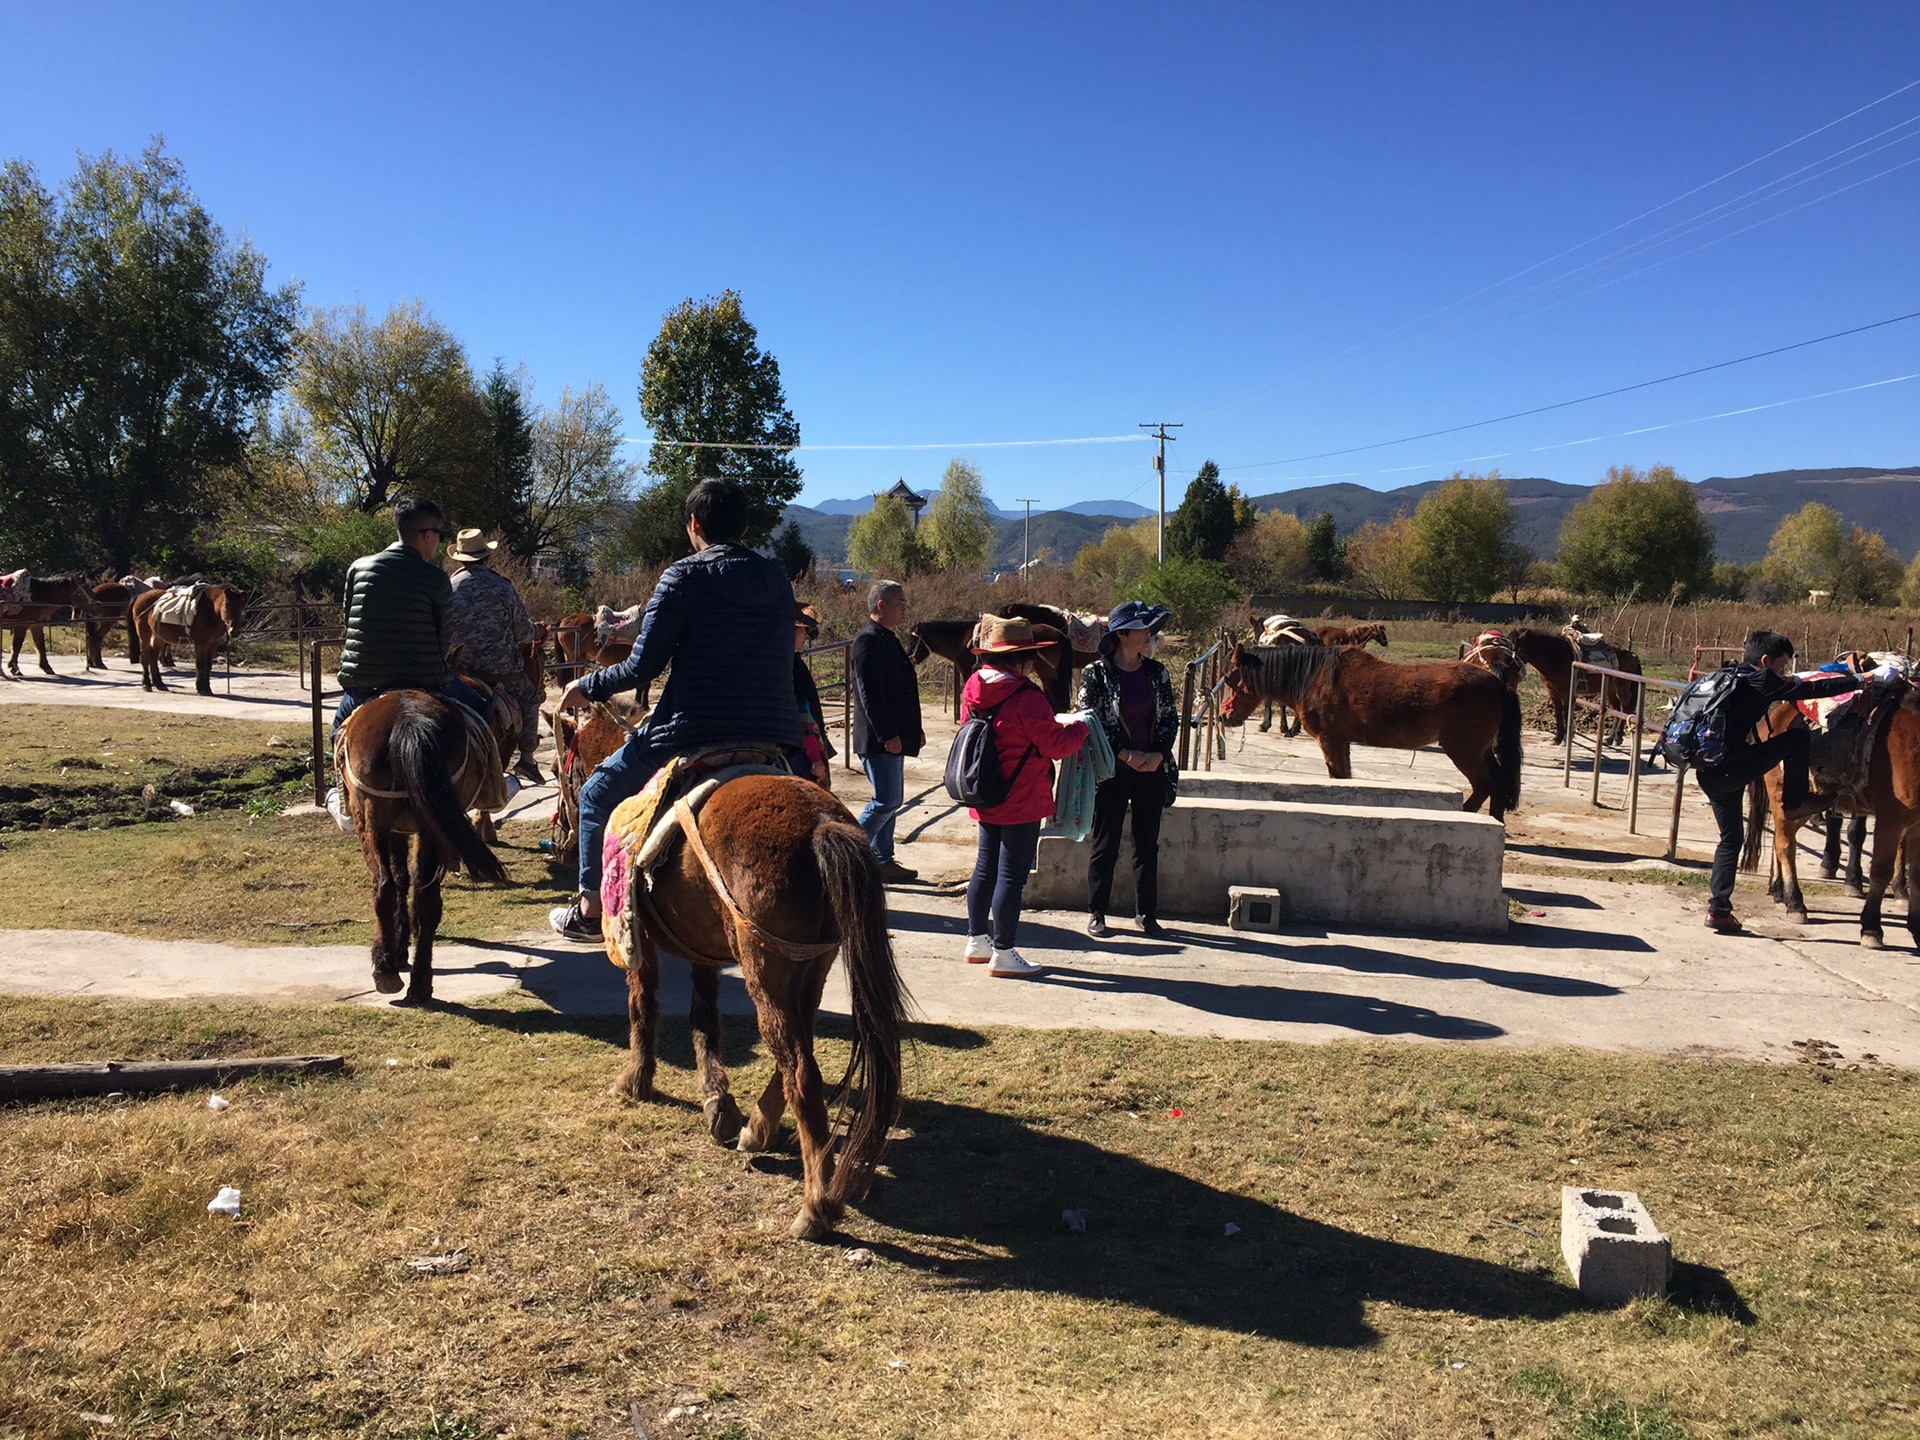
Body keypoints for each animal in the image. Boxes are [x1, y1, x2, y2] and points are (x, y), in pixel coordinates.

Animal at [334, 695, 510, 1006]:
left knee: (385, 887)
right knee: (421, 896)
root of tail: (407, 719)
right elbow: (407, 879)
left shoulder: (395, 830)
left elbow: (400, 877)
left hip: (371, 818)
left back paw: (387, 970)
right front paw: (403, 943)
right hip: (428, 825)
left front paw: (399, 947)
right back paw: (416, 983)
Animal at [614, 779, 913, 1244]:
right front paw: (717, 1100)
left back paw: (816, 1208)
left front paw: (636, 1081)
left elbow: (642, 1005)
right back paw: (758, 1131)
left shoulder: (638, 936)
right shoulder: (704, 947)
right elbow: (704, 1017)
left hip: (764, 966)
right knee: (795, 1052)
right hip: (810, 965)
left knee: (801, 1072)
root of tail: (820, 822)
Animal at [1221, 645, 1520, 817]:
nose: (1225, 716)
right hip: (1479, 750)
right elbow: (1344, 778)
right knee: (1496, 781)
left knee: (1486, 783)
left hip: (1463, 750)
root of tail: (1499, 686)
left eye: (1229, 677)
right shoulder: (1341, 743)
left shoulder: (1330, 740)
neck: (1315, 677)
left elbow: (1338, 778)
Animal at [1505, 629, 1643, 744]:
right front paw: (1557, 737)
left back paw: (1618, 737)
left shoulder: (1566, 691)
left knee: (1624, 709)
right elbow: (1558, 711)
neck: (1556, 657)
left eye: (1513, 649)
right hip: (1611, 690)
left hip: (1622, 688)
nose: (1505, 669)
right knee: (1617, 710)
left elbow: (1567, 711)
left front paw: (1566, 738)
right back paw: (1610, 738)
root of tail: (1631, 655)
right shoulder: (1552, 690)